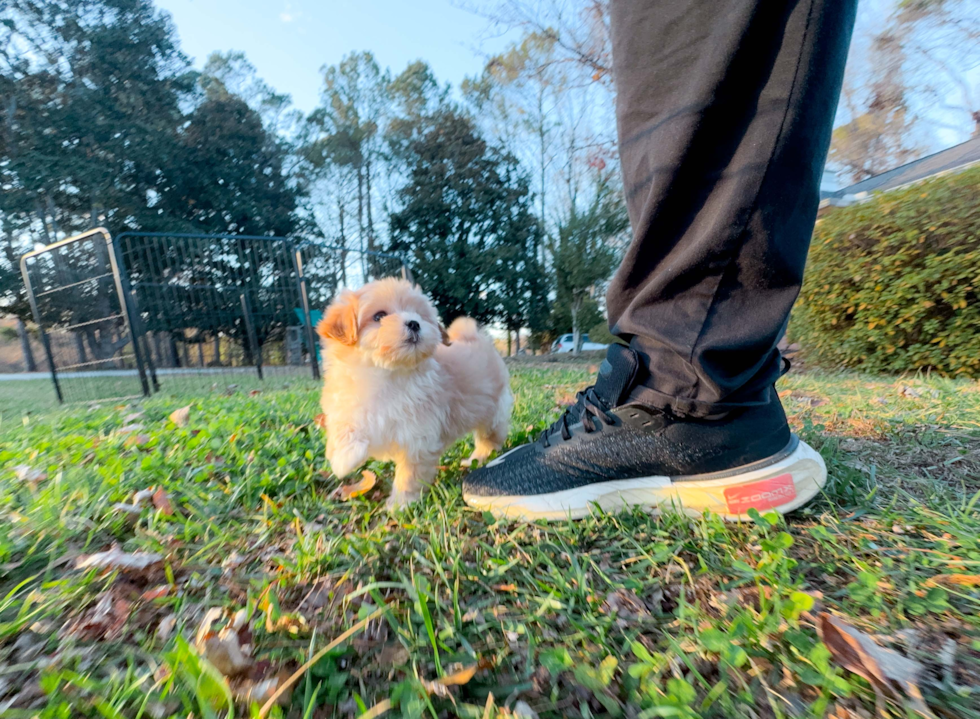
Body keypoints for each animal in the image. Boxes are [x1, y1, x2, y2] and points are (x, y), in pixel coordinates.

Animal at [316, 278, 516, 510]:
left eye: (418, 315)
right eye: (379, 316)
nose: (414, 323)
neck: (387, 373)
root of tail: (474, 337)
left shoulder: (418, 437)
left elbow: (409, 474)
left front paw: (400, 503)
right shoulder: (346, 403)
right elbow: (343, 428)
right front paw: (344, 458)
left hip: (492, 410)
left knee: (490, 438)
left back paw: (478, 458)